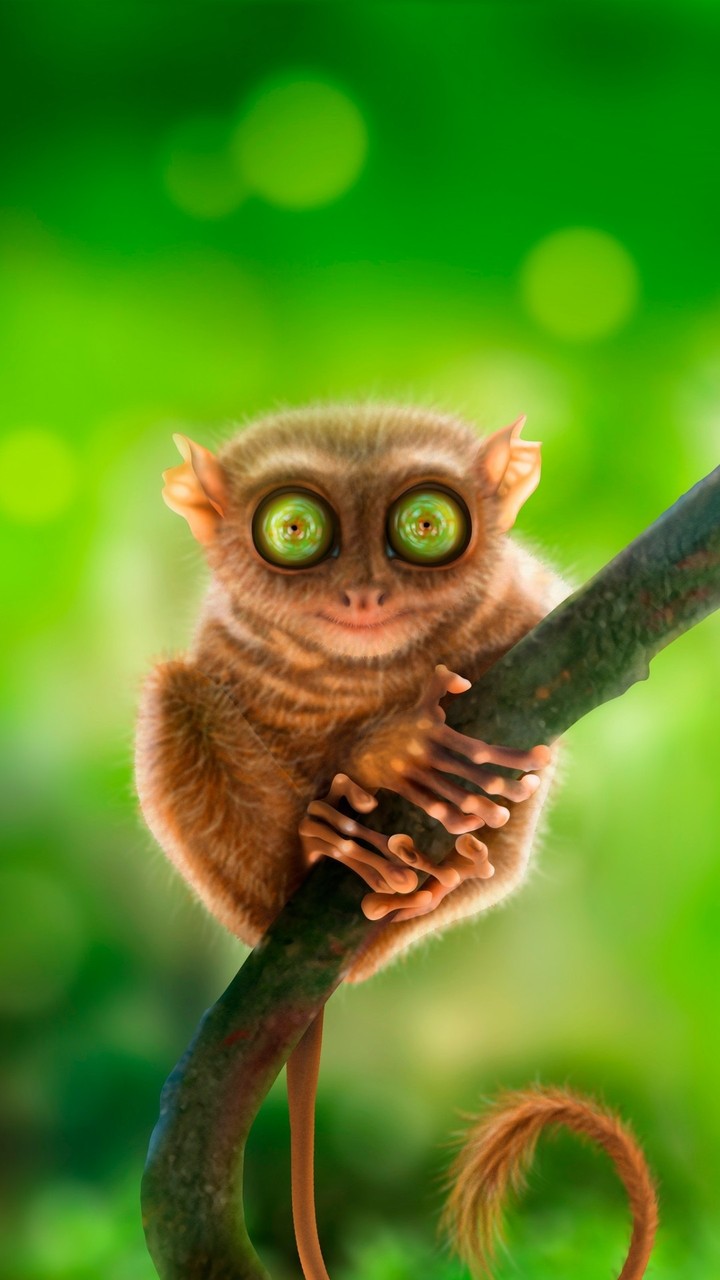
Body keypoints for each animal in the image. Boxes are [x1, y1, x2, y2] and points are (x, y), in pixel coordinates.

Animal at [135, 403, 659, 1279]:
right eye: (293, 528)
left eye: (425, 525)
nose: (364, 593)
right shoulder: (224, 643)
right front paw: (388, 752)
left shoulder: (531, 608)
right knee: (174, 691)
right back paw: (324, 843)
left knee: (522, 789)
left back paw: (436, 870)